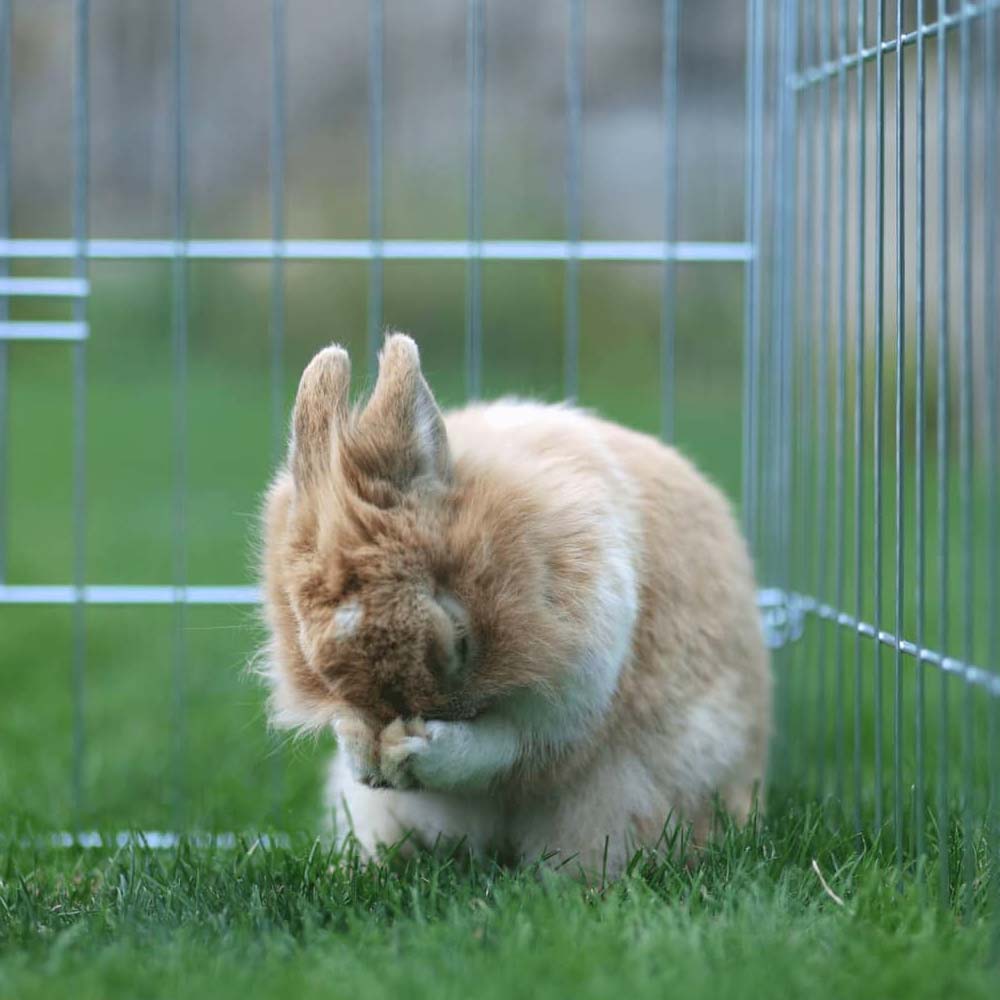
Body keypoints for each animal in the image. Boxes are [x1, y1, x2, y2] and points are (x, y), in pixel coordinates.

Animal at [258, 334, 772, 876]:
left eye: (459, 642)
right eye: (315, 659)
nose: (399, 722)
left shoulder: (573, 697)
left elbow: (499, 748)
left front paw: (414, 748)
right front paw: (362, 747)